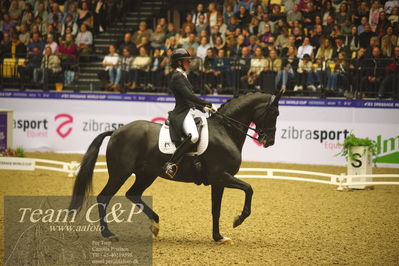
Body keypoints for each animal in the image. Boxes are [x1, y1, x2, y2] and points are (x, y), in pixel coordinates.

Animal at [69, 91, 282, 243]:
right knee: (104, 198)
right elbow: (249, 189)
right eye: (274, 113)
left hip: (146, 174)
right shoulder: (221, 176)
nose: (269, 141)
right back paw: (108, 234)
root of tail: (116, 131)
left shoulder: (218, 181)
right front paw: (238, 220)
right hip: (120, 173)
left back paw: (155, 224)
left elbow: (216, 209)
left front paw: (219, 237)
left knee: (133, 193)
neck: (225, 131)